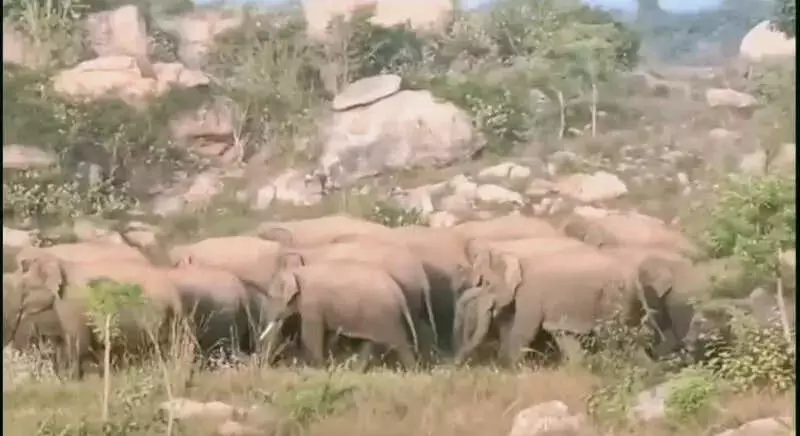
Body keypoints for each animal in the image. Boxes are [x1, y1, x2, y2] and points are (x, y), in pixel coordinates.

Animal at [5, 250, 185, 379]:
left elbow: (77, 341)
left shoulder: (72, 304)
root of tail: (174, 294)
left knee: (151, 343)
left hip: (151, 311)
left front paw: (70, 378)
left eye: (23, 290)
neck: (60, 262)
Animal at [258, 261, 420, 371]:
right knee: (369, 343)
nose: (265, 365)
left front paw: (318, 368)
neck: (296, 271)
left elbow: (310, 335)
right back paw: (356, 371)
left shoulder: (312, 303)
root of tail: (399, 293)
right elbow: (327, 334)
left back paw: (412, 372)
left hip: (385, 316)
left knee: (399, 343)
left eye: (270, 296)